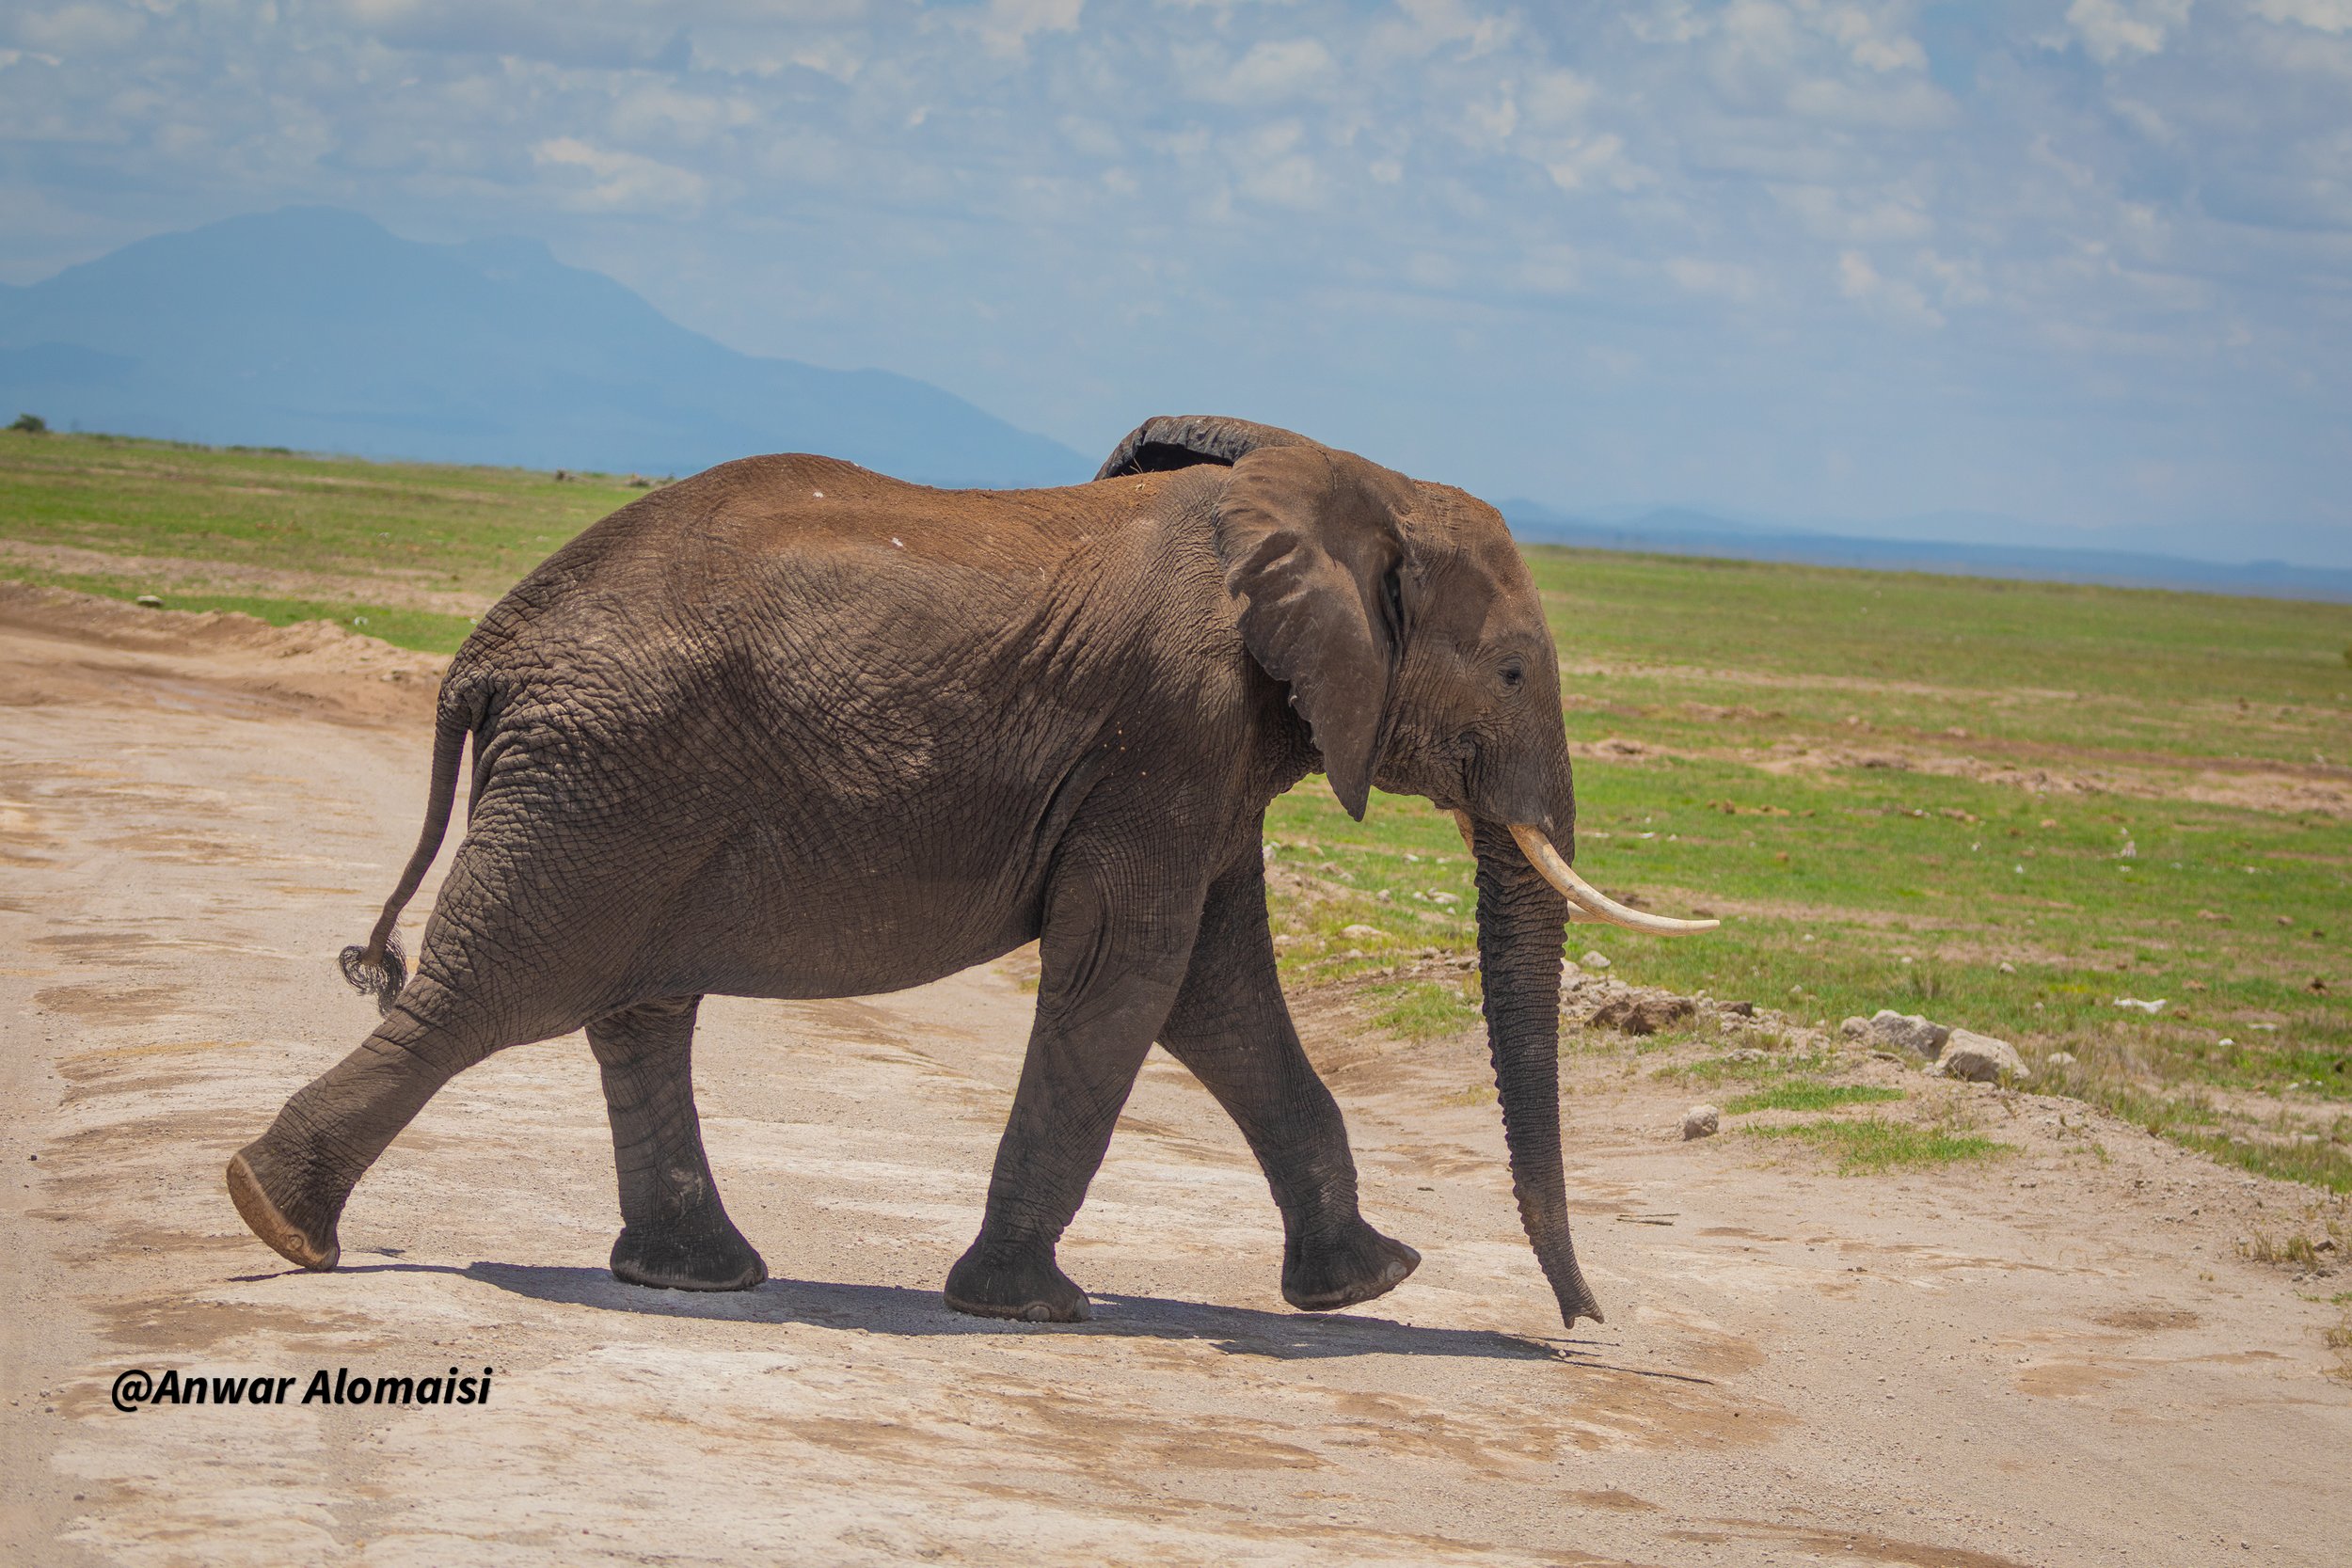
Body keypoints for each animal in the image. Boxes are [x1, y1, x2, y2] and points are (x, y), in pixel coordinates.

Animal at [225, 414, 1714, 1330]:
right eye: (1512, 671)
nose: (1584, 1320)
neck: (1344, 481)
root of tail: (491, 644)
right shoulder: (1172, 729)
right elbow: (1131, 975)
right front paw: (1031, 1307)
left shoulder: (1214, 756)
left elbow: (1215, 993)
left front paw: (1368, 1284)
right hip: (604, 786)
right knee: (491, 994)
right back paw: (279, 1219)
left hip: (618, 787)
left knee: (634, 1010)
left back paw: (695, 1276)